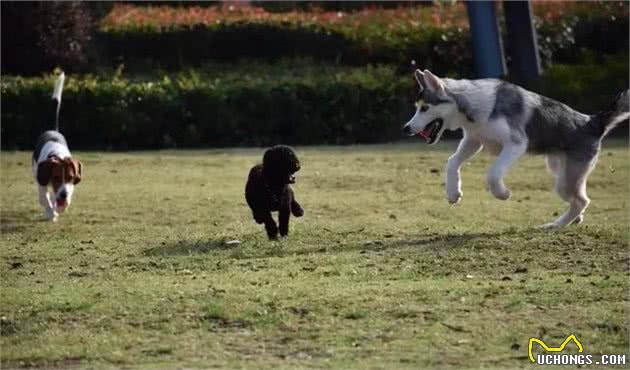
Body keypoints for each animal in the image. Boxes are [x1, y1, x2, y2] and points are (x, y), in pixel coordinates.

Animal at [32, 73, 82, 221]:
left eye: (71, 177)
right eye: (56, 177)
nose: (63, 195)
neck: (58, 155)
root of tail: (52, 130)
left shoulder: (69, 186)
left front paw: (61, 206)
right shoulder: (42, 181)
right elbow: (44, 198)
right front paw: (50, 213)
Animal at [402, 68, 628, 227]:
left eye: (425, 108)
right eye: (416, 108)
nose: (406, 129)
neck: (472, 107)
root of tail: (592, 121)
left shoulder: (516, 144)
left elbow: (493, 173)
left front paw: (503, 194)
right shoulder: (473, 141)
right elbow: (452, 162)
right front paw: (453, 192)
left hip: (566, 180)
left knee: (582, 201)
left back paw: (556, 225)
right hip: (561, 171)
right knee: (579, 198)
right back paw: (573, 220)